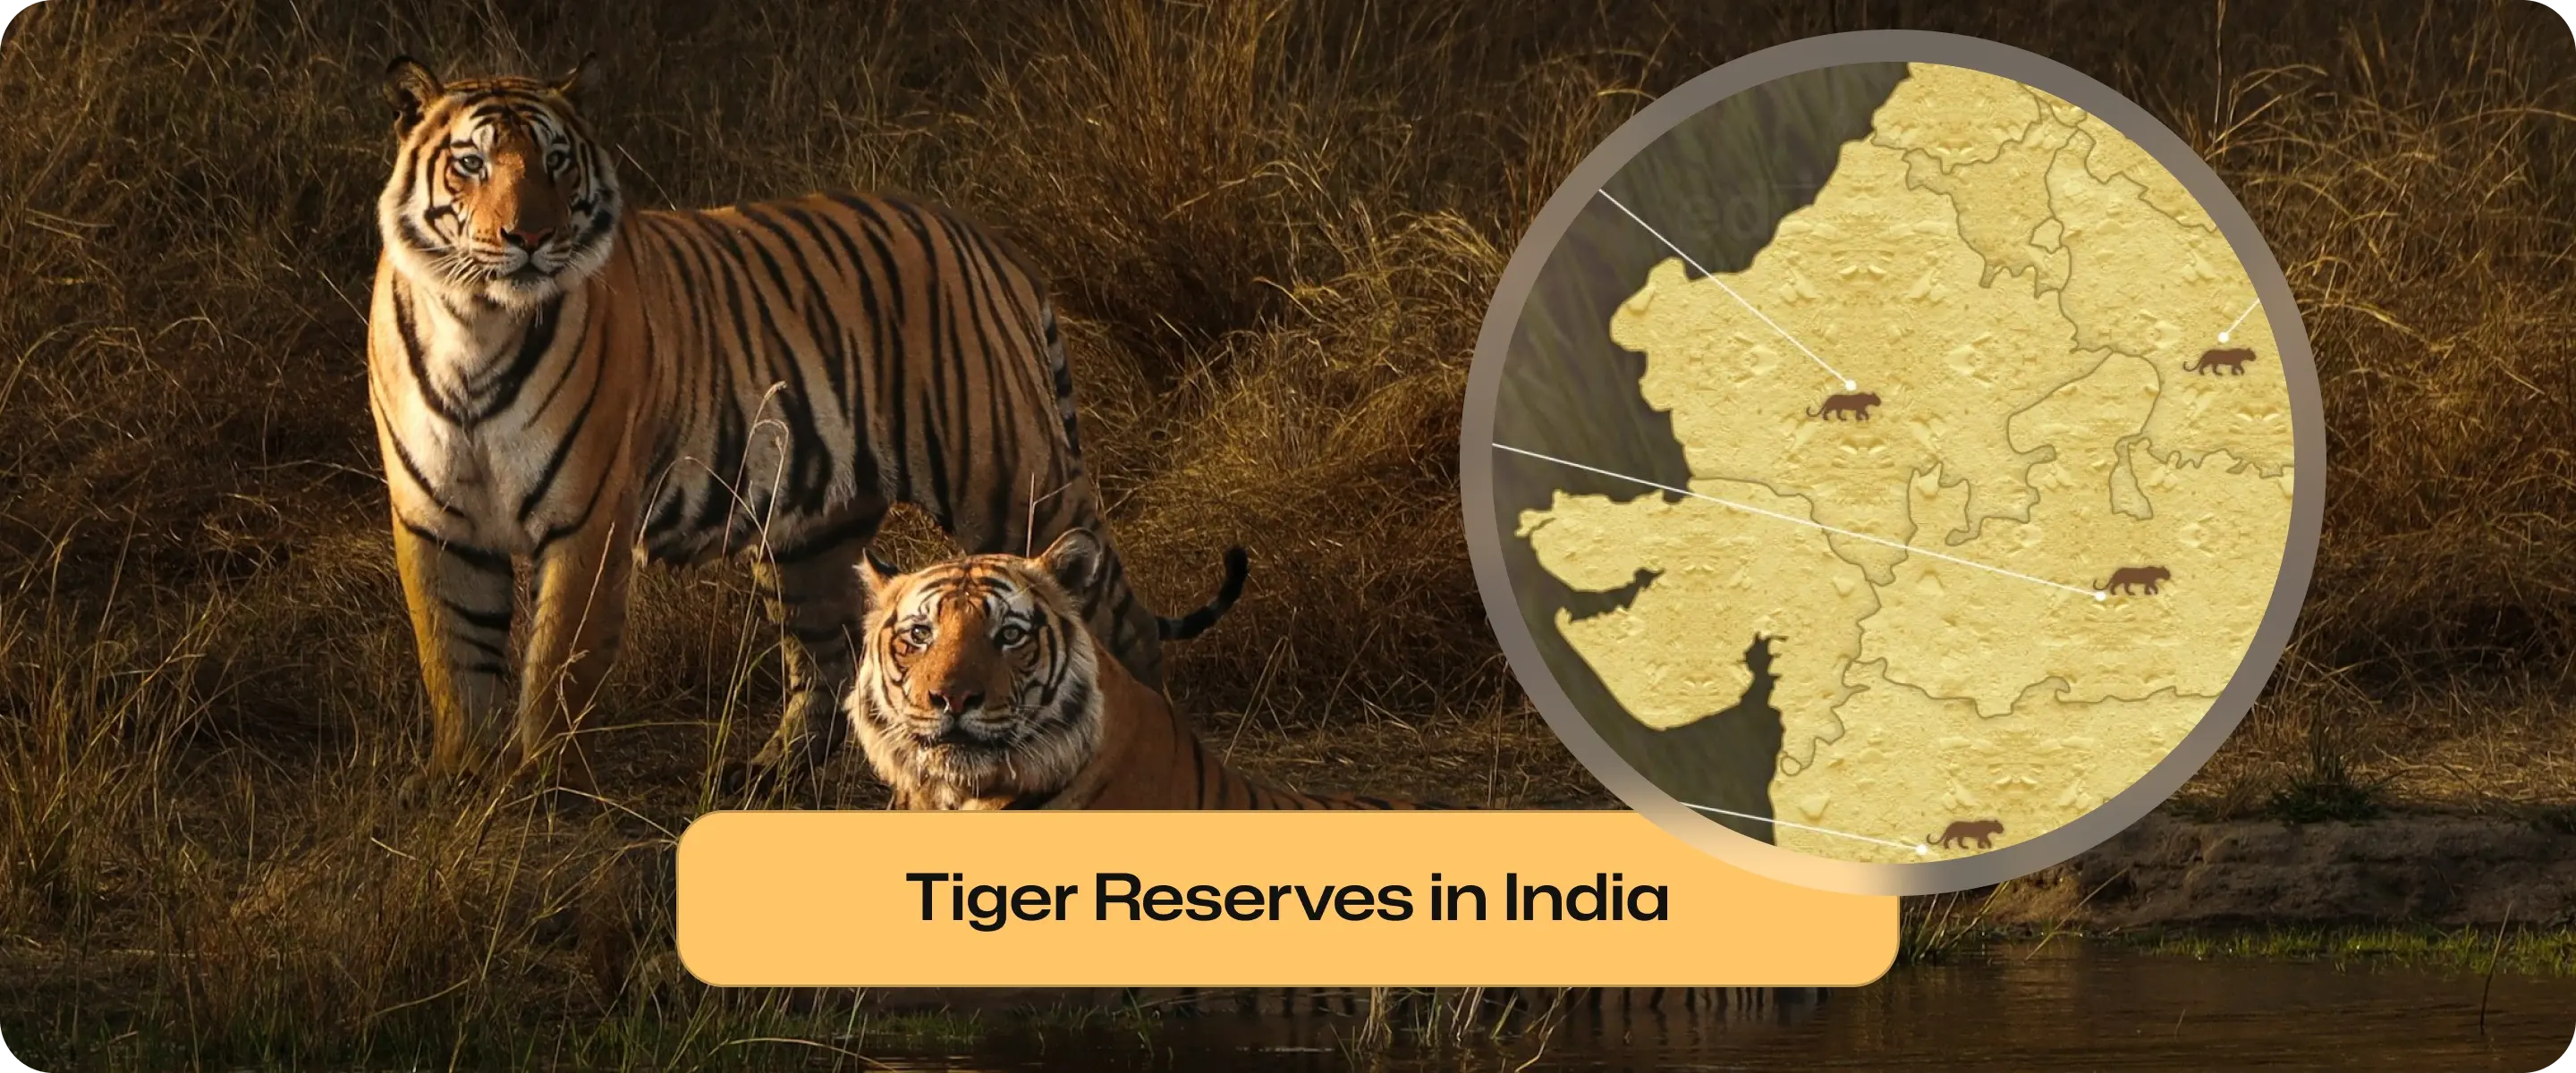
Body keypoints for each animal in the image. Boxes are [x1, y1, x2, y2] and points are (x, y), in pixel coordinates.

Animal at [366, 55, 1240, 799]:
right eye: (471, 164)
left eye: (557, 162)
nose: (529, 238)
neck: (476, 324)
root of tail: (988, 241)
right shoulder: (435, 517)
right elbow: (453, 655)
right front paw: (462, 778)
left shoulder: (588, 519)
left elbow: (557, 662)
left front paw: (542, 780)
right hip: (810, 530)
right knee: (829, 657)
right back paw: (767, 776)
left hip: (1013, 480)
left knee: (1117, 622)